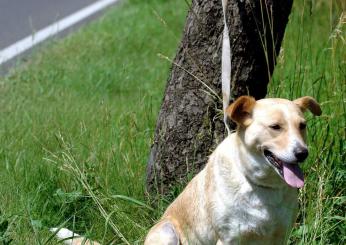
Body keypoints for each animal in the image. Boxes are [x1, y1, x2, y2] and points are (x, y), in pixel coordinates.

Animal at [144, 96, 322, 245]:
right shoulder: (229, 239)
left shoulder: (280, 237)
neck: (262, 185)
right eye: (275, 127)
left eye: (302, 126)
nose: (303, 153)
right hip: (167, 232)